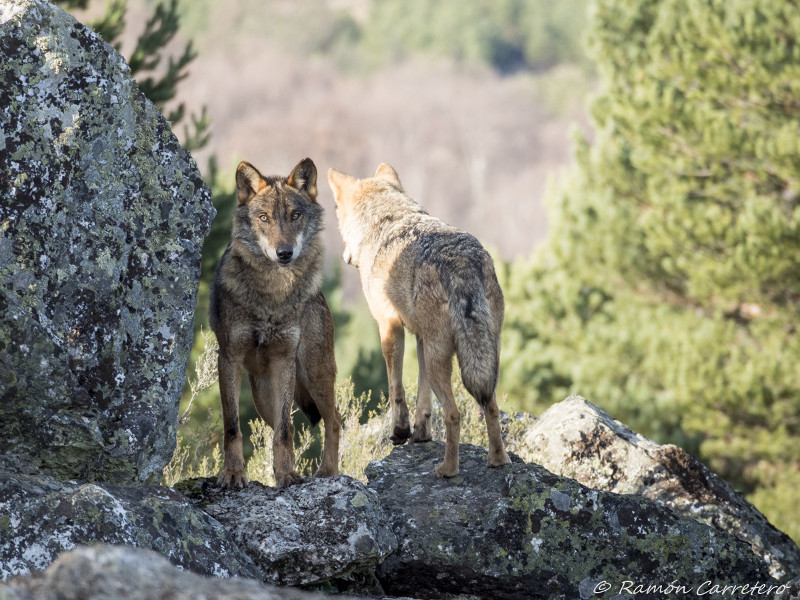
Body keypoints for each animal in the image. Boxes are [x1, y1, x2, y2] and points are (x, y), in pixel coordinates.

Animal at [209, 158, 340, 488]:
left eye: (295, 215)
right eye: (263, 217)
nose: (284, 253)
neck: (272, 295)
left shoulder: (285, 360)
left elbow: (281, 432)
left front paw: (287, 476)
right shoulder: (228, 358)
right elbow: (233, 426)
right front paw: (233, 474)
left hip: (314, 374)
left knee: (334, 420)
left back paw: (327, 472)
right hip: (262, 395)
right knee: (293, 427)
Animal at [326, 163, 510, 478]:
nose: (344, 256)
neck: (385, 218)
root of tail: (462, 264)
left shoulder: (389, 327)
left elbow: (396, 388)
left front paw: (400, 431)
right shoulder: (421, 339)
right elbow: (423, 399)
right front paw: (420, 434)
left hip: (444, 361)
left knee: (453, 414)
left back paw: (448, 469)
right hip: (486, 359)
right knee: (491, 407)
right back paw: (498, 460)